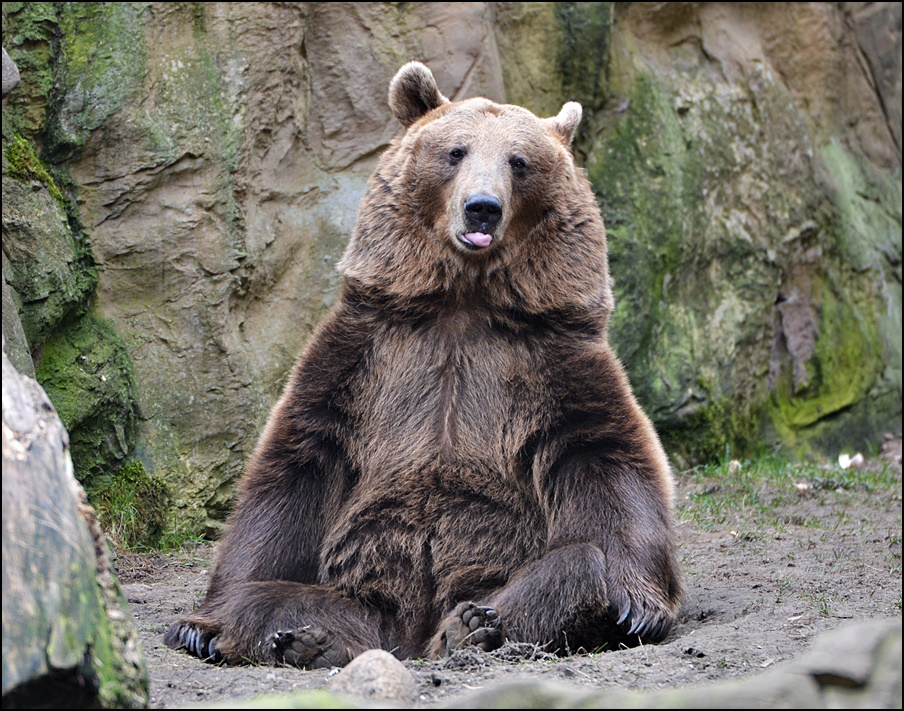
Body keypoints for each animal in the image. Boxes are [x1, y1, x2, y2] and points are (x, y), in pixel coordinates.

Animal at [166, 61, 680, 668]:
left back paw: (476, 626)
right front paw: (198, 622)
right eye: (456, 151)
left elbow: (606, 458)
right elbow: (295, 467)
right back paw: (297, 638)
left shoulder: (553, 358)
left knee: (576, 567)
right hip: (364, 590)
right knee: (276, 600)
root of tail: (410, 632)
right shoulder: (365, 355)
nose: (482, 206)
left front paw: (638, 607)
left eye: (519, 161)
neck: (463, 300)